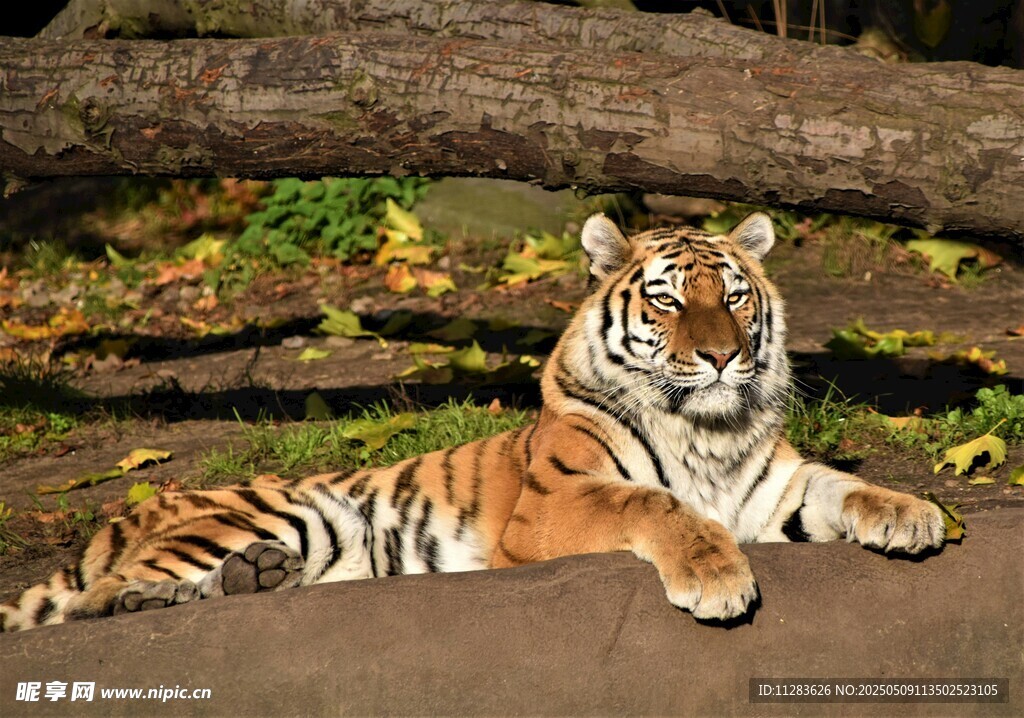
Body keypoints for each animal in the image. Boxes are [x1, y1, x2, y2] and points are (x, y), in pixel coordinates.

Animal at [1, 211, 946, 632]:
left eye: (736, 298)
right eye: (671, 301)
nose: (720, 357)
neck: (704, 429)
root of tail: (130, 509)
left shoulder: (774, 490)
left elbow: (847, 484)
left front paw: (914, 515)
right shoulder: (555, 502)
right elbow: (654, 503)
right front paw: (717, 577)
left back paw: (255, 581)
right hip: (283, 509)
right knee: (89, 599)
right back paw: (153, 596)